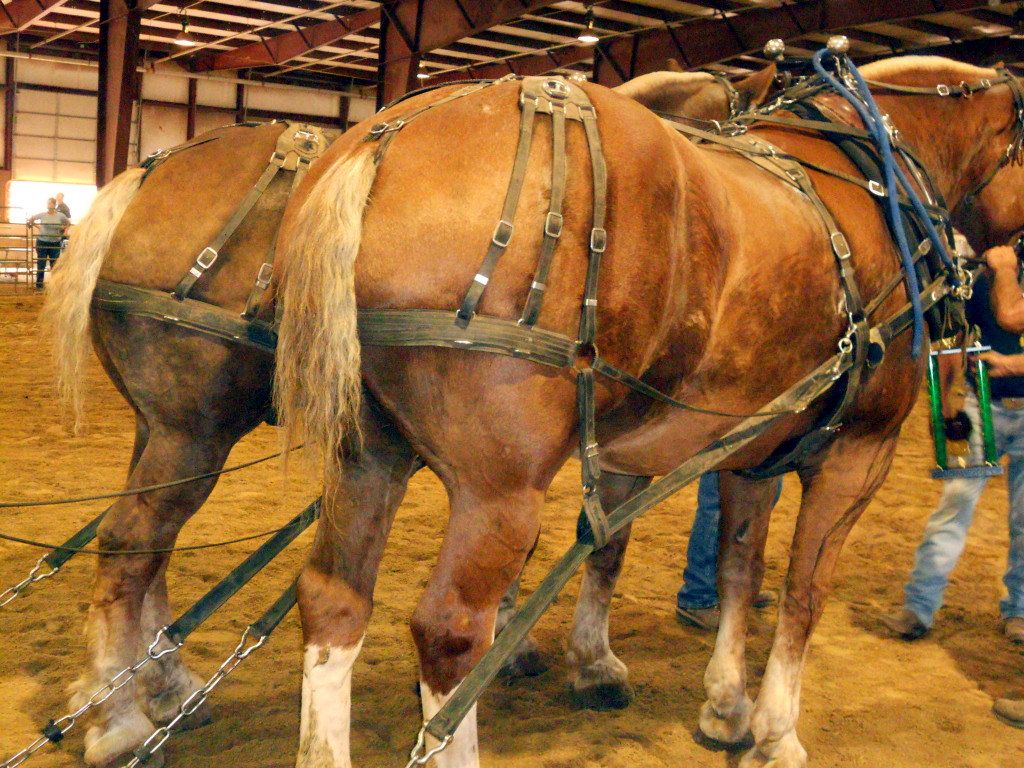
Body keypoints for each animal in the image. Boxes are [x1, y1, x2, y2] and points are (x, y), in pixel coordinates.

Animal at [39, 68, 776, 768]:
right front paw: (572, 663)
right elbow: (585, 547)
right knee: (132, 541)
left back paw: (149, 687)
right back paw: (119, 720)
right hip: (193, 430)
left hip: (164, 427)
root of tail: (148, 172)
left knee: (145, 544)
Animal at [272, 55, 1022, 768]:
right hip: (498, 490)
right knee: (450, 633)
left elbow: (725, 568)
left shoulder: (746, 453)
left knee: (332, 602)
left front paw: (718, 703)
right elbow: (805, 591)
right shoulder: (857, 453)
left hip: (367, 454)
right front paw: (776, 733)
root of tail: (387, 136)